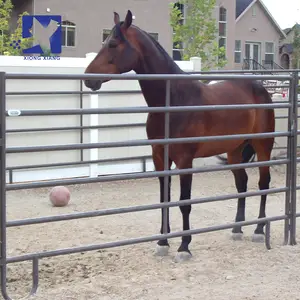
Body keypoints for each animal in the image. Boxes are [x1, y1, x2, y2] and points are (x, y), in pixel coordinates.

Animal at [84, 10, 274, 262]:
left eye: (113, 44)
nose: (88, 78)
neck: (173, 100)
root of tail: (260, 88)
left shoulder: (185, 160)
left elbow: (185, 202)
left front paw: (184, 246)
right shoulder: (160, 157)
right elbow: (165, 198)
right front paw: (163, 243)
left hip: (263, 146)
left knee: (263, 183)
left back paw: (259, 230)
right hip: (234, 150)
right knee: (241, 183)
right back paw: (236, 229)